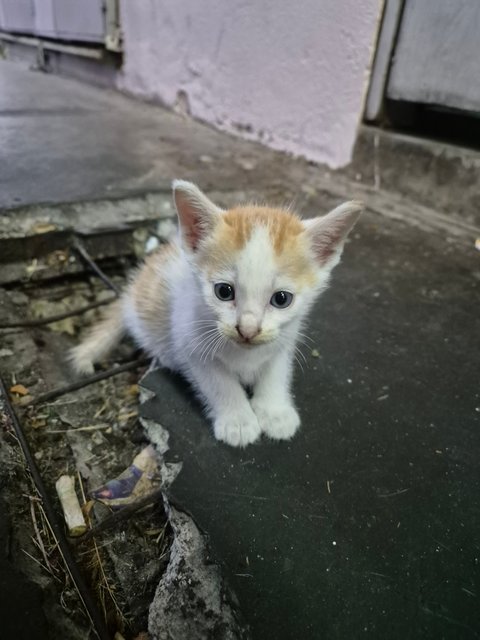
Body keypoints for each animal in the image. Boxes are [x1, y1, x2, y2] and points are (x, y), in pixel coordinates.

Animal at [71, 180, 362, 448]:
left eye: (281, 299)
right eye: (224, 291)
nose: (248, 330)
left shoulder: (284, 339)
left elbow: (276, 371)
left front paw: (274, 412)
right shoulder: (191, 344)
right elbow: (221, 384)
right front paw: (238, 421)